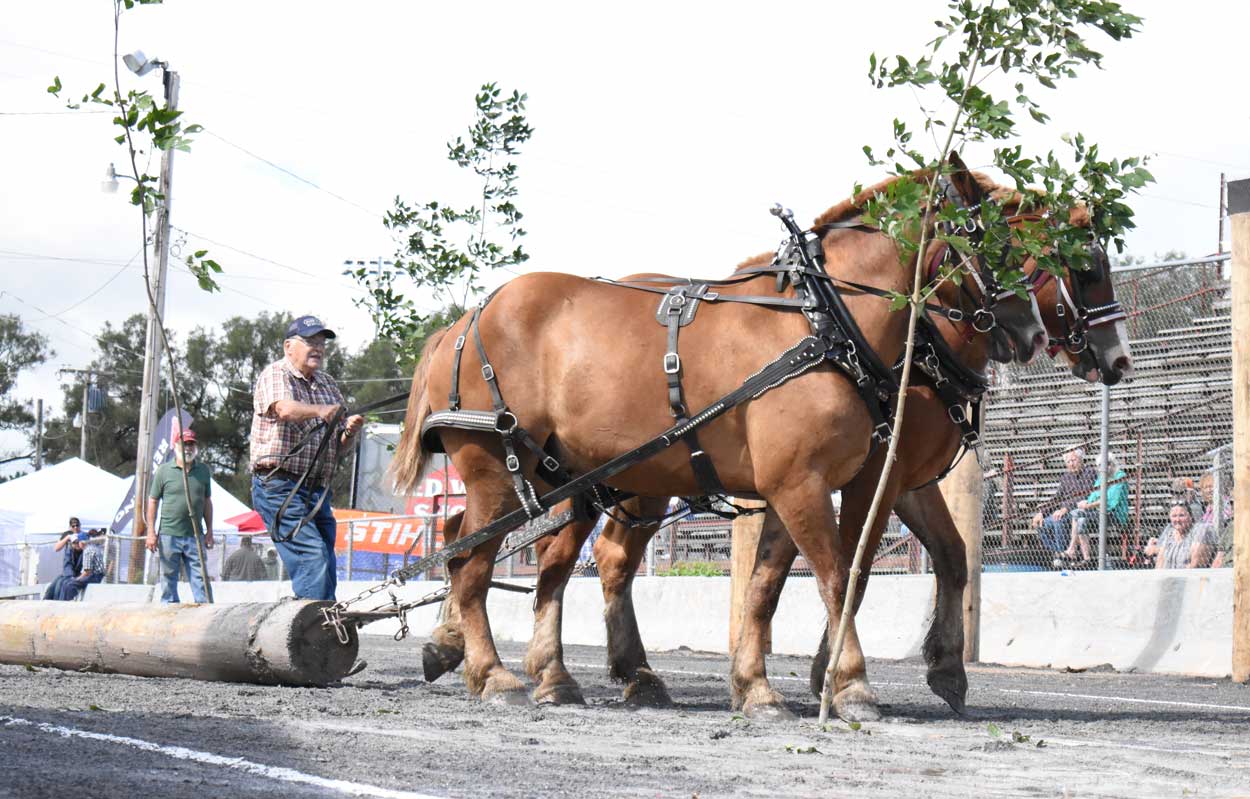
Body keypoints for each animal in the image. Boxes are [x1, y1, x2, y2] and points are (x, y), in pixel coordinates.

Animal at [419, 175, 1133, 721]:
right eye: (1082, 267)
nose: (1118, 359)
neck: (835, 328)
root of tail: (465, 320)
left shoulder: (838, 481)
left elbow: (787, 582)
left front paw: (762, 686)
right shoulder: (833, 480)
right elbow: (844, 572)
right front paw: (846, 681)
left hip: (590, 477)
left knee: (543, 557)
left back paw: (558, 671)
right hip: (502, 469)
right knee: (475, 559)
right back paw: (498, 674)